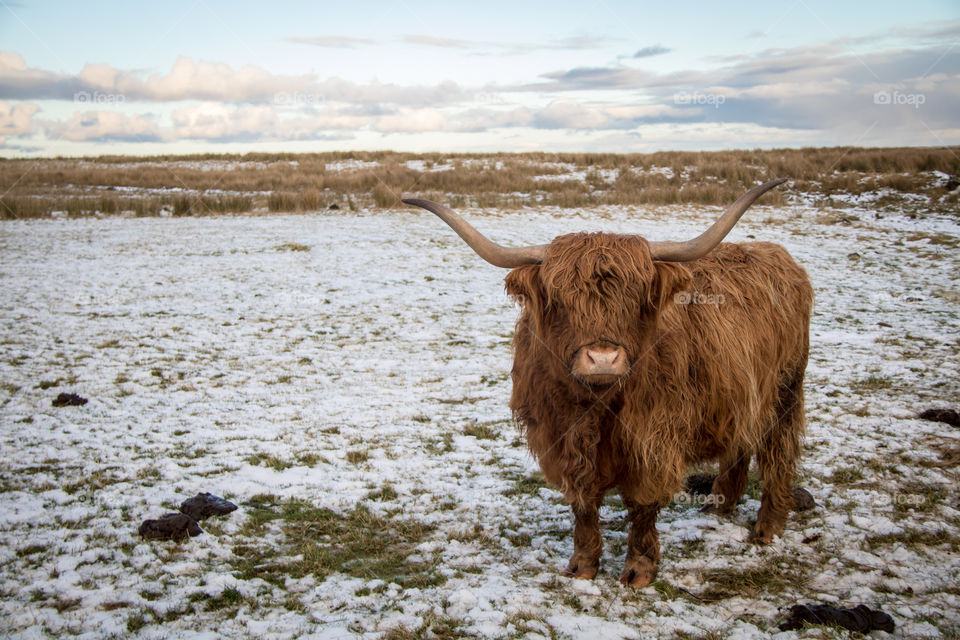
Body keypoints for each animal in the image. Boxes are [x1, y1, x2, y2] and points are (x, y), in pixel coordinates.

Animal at [400, 179, 808, 584]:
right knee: (741, 442)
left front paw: (639, 569)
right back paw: (720, 505)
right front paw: (582, 565)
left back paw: (767, 527)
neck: (597, 406)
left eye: (636, 299)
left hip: (787, 391)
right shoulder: (561, 438)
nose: (602, 359)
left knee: (778, 453)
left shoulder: (653, 438)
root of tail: (776, 254)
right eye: (560, 301)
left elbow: (642, 504)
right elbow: (583, 502)